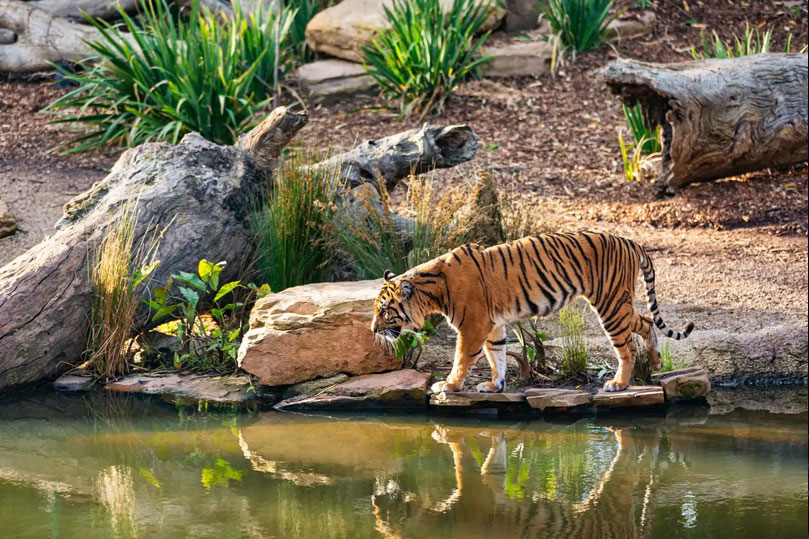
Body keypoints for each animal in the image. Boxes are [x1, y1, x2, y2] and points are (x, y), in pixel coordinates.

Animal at [371, 232, 694, 393]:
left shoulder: (473, 326)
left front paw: (449, 385)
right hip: (620, 303)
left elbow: (461, 359)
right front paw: (495, 384)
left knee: (626, 347)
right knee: (647, 321)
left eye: (385, 311)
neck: (433, 289)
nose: (373, 330)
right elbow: (497, 356)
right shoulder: (493, 325)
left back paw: (619, 383)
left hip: (610, 304)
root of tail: (630, 240)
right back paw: (655, 361)